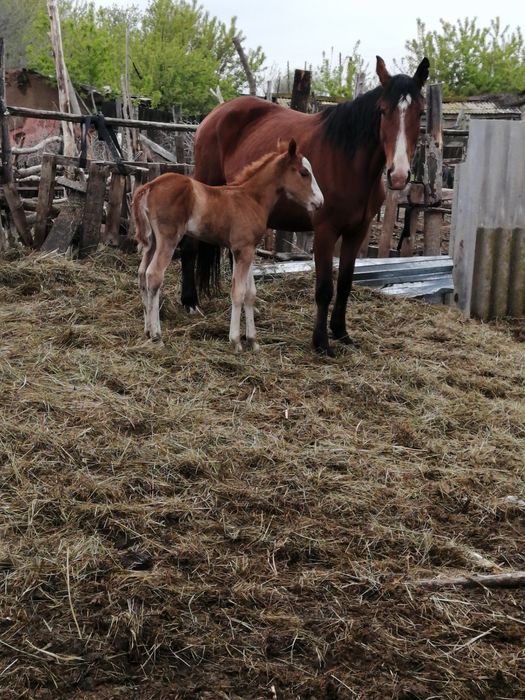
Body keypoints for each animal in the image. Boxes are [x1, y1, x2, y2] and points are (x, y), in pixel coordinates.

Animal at [132, 139, 323, 352]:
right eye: (304, 173)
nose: (320, 202)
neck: (251, 199)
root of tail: (151, 185)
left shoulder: (248, 250)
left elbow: (250, 293)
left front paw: (253, 341)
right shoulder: (242, 250)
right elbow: (238, 293)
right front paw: (236, 341)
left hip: (152, 242)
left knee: (142, 274)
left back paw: (147, 330)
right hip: (169, 239)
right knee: (154, 275)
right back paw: (157, 336)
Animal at [181, 55, 429, 355]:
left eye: (421, 112)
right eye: (382, 110)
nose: (399, 175)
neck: (349, 164)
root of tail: (217, 112)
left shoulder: (357, 232)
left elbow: (345, 283)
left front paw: (341, 332)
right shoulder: (325, 231)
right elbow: (324, 288)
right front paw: (321, 342)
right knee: (190, 244)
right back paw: (190, 302)